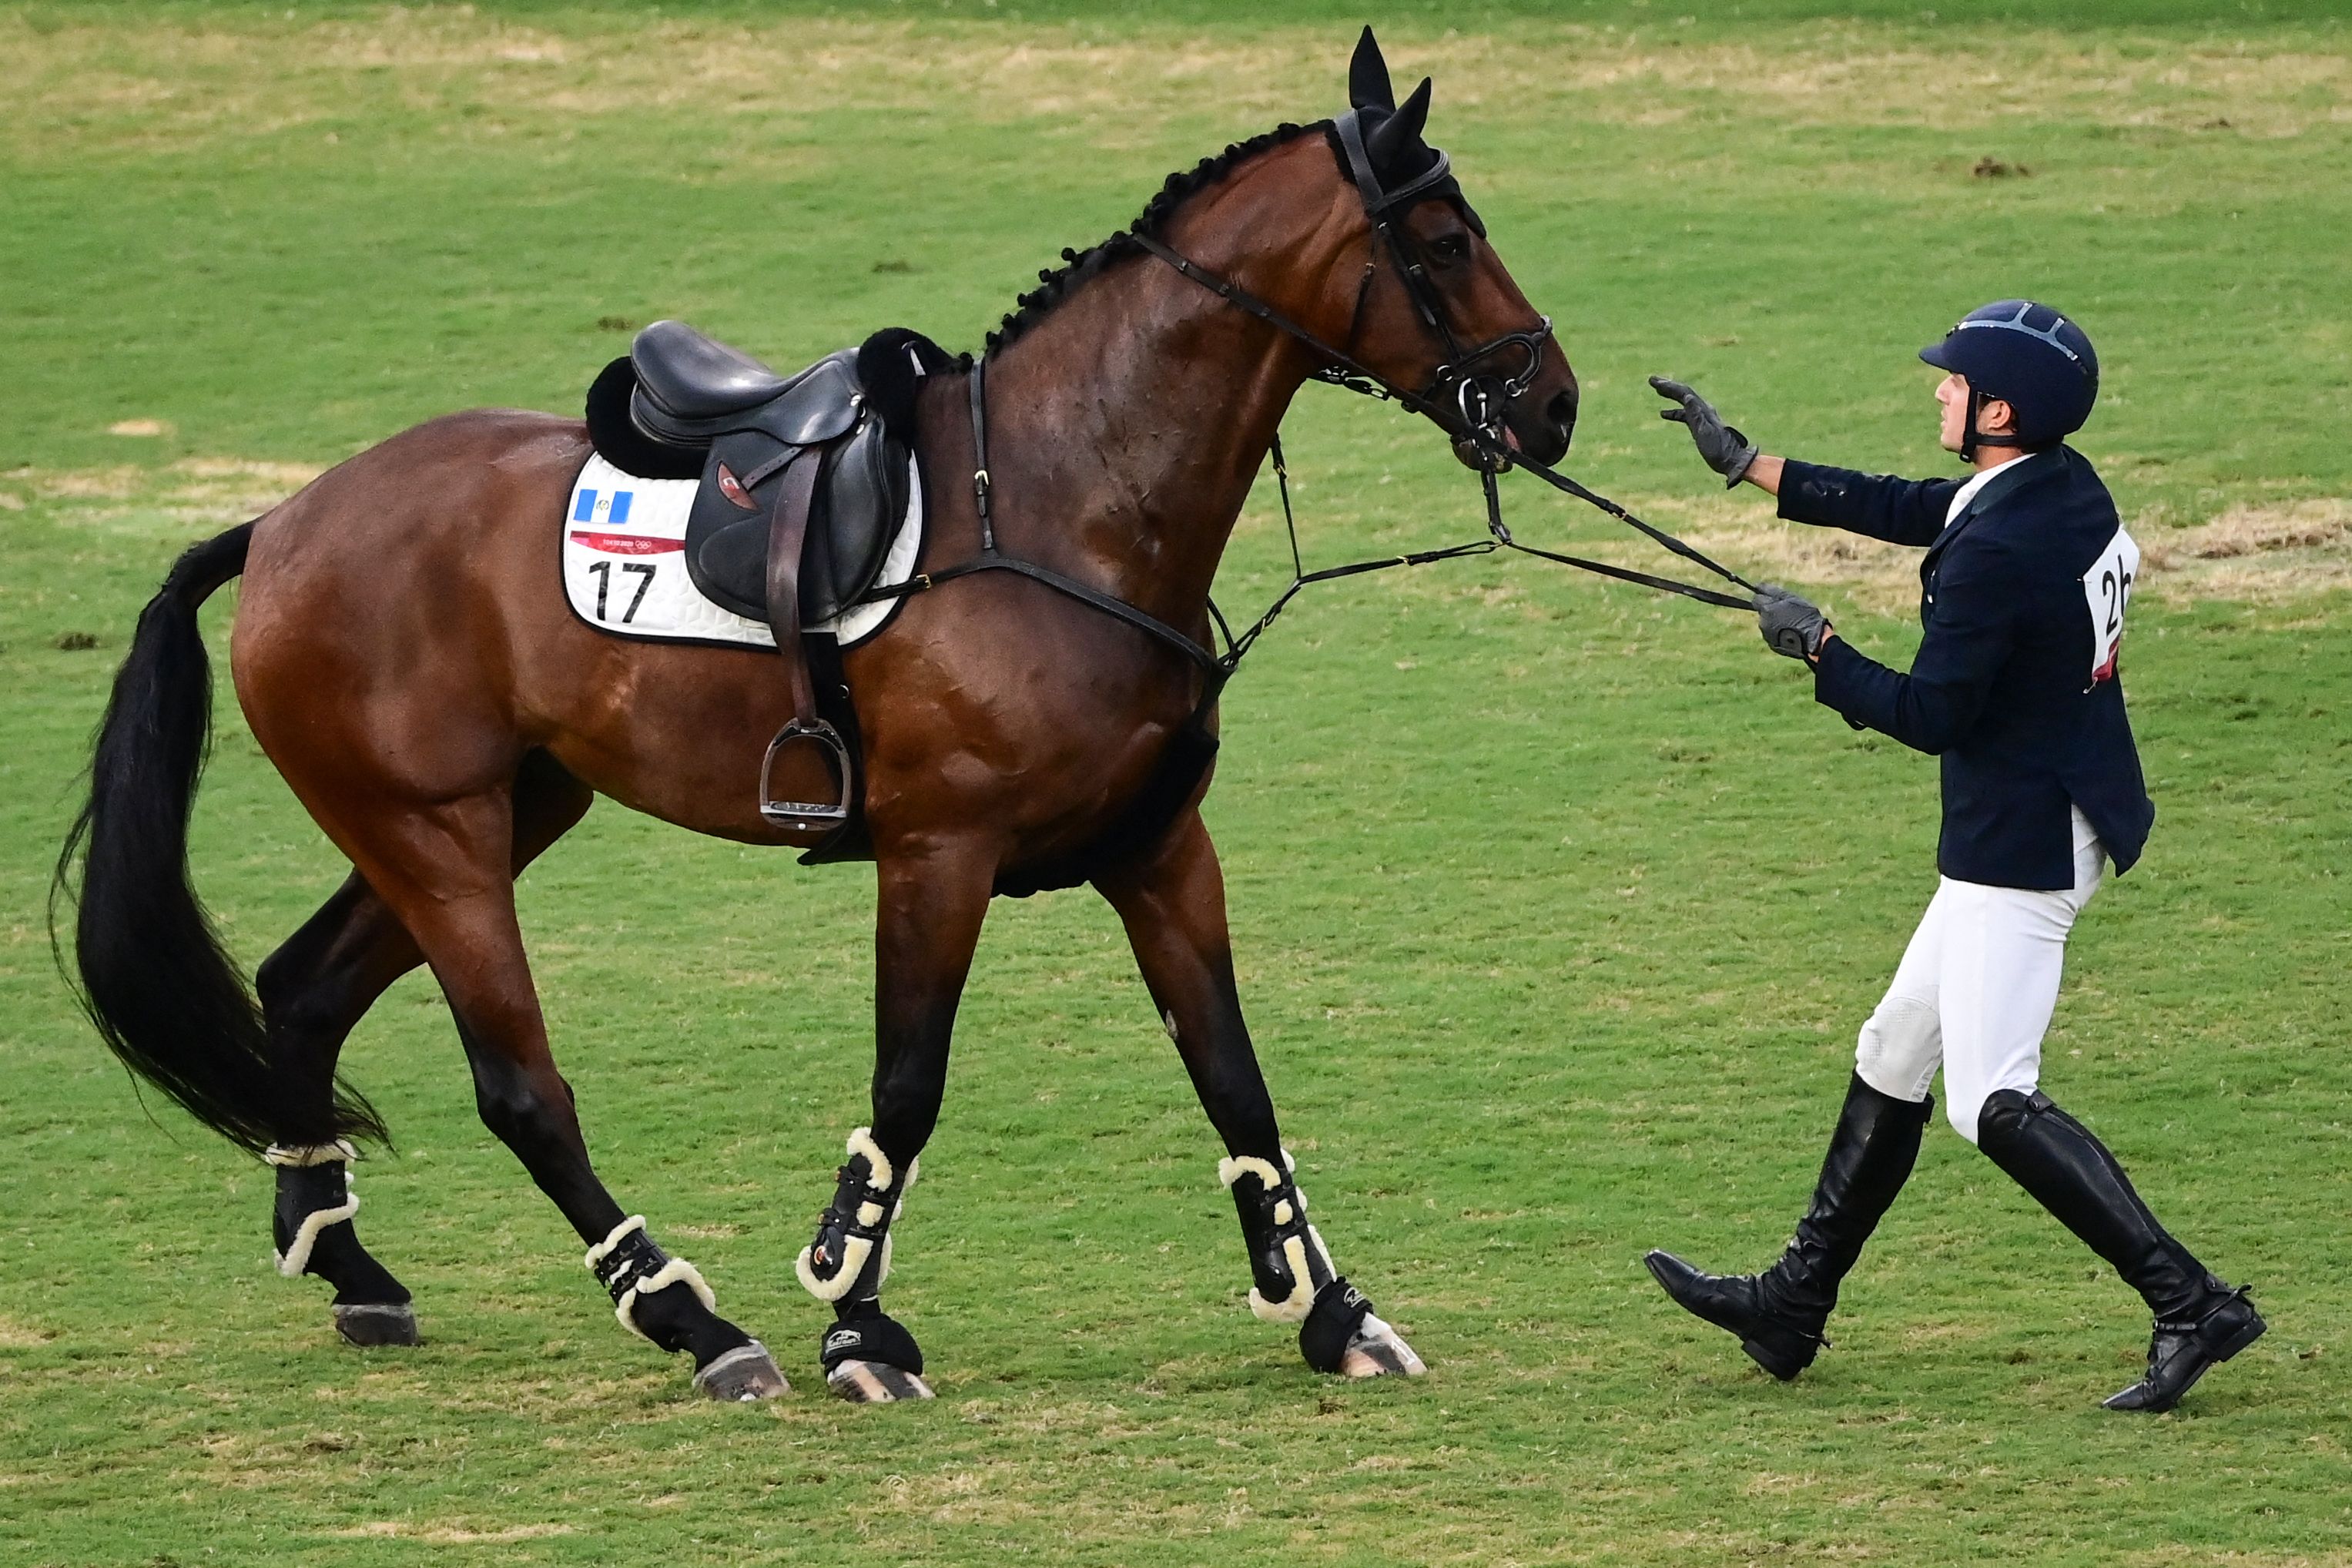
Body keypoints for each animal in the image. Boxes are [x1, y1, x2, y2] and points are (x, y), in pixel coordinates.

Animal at [55, 30, 1571, 1401]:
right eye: (1444, 241)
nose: (1550, 405)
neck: (1056, 499)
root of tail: (284, 521)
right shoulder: (937, 856)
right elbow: (907, 1088)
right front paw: (857, 1323)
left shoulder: (1157, 851)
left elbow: (1233, 1079)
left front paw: (1332, 1310)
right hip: (436, 839)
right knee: (521, 1089)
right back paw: (694, 1324)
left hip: (497, 810)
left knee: (304, 990)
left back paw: (350, 1264)